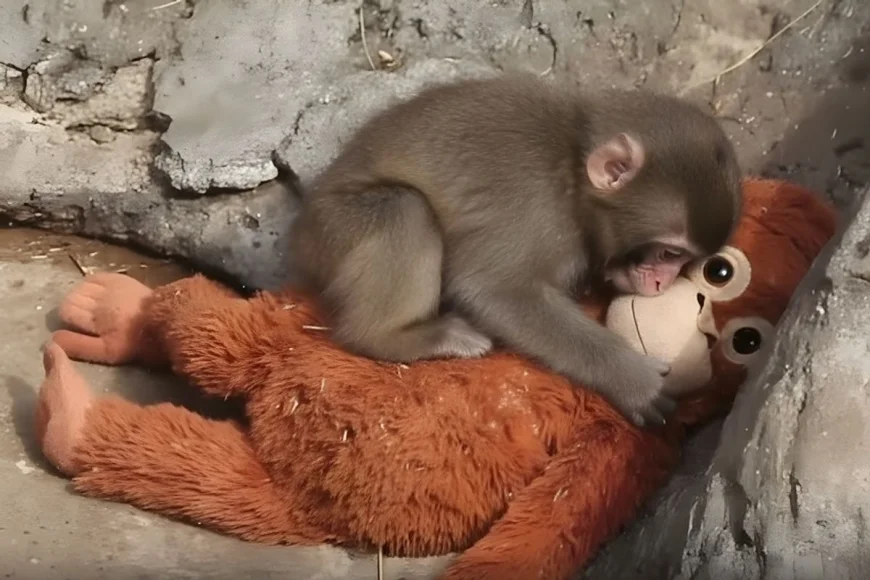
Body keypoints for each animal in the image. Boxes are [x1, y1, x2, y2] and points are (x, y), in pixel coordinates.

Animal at [287, 73, 742, 427]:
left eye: (686, 260)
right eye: (668, 253)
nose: (663, 281)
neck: (572, 171)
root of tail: (302, 233)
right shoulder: (535, 211)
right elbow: (493, 290)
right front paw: (634, 381)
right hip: (336, 229)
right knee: (405, 210)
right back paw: (394, 338)